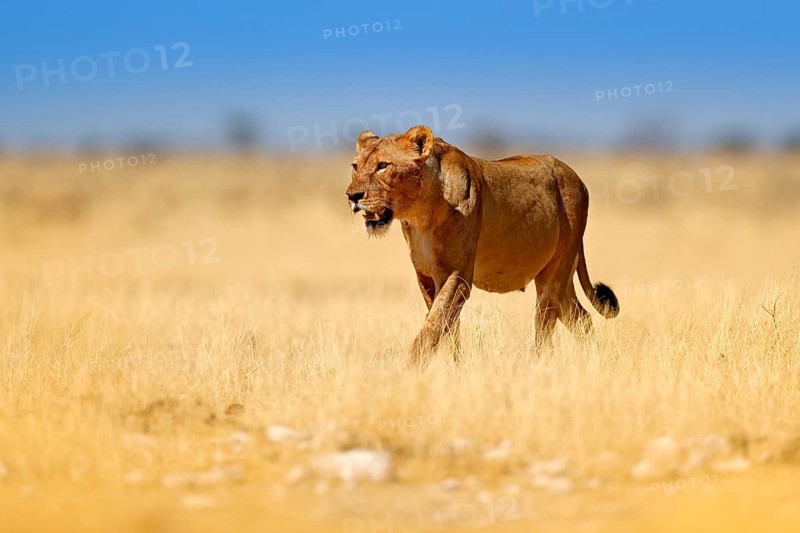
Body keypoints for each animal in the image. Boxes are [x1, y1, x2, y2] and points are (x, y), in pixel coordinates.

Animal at [345, 125, 619, 365]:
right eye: (355, 167)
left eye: (383, 166)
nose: (352, 196)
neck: (420, 214)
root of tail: (578, 179)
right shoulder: (425, 276)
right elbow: (446, 325)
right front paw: (454, 367)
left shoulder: (457, 275)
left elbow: (435, 322)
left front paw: (411, 368)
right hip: (561, 281)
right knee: (581, 318)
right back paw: (594, 361)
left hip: (553, 275)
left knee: (546, 326)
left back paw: (539, 364)